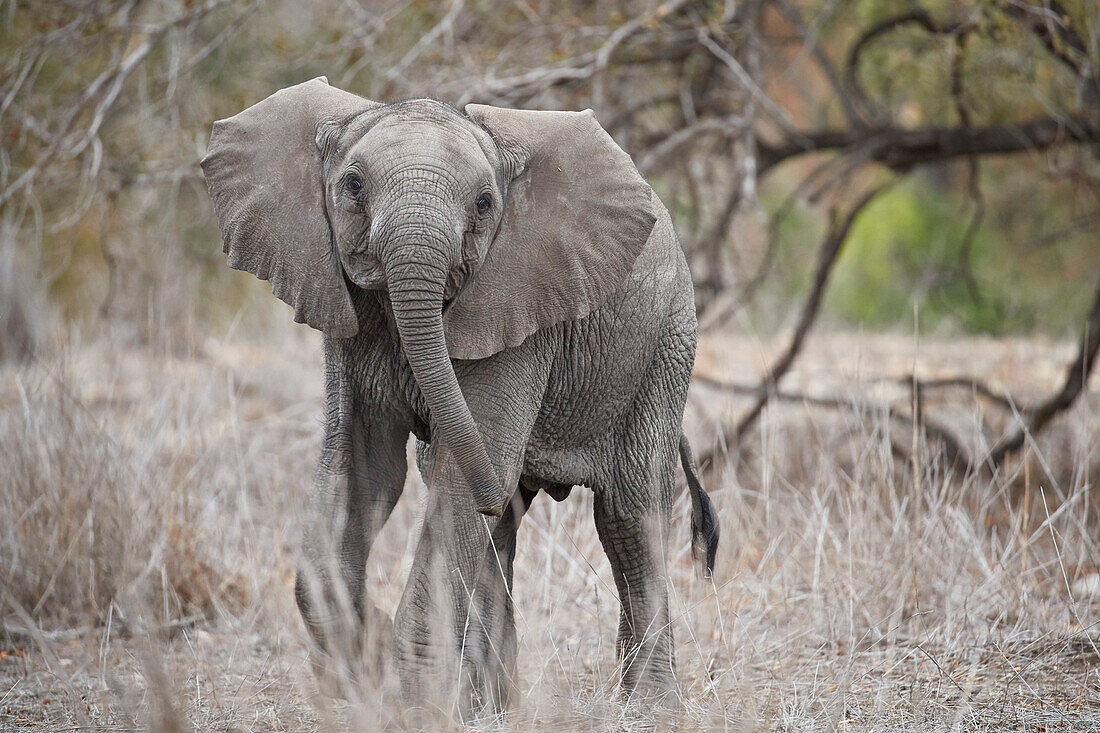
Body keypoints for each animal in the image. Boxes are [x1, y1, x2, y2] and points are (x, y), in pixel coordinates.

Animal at [201, 77, 721, 717]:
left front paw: (413, 702)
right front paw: (364, 665)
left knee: (626, 510)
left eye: (483, 204)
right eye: (352, 184)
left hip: (666, 343)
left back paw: (647, 708)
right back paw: (492, 706)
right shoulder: (344, 316)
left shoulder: (520, 306)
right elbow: (365, 468)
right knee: (501, 525)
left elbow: (459, 484)